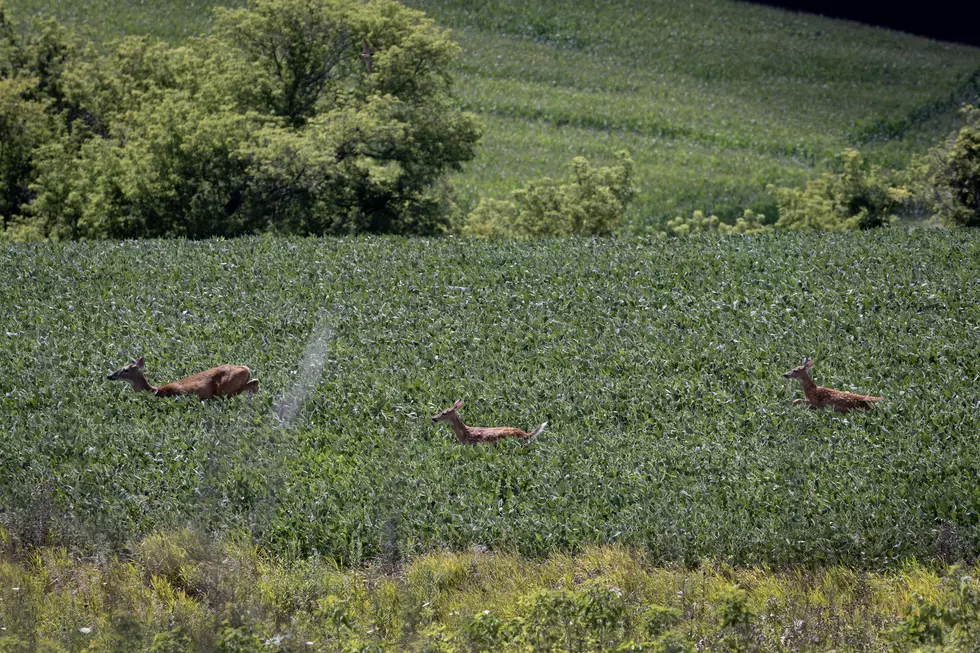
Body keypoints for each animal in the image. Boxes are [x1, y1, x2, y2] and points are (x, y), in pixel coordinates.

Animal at [107, 357, 259, 400]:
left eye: (125, 369)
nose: (110, 376)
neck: (156, 390)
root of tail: (245, 368)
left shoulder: (181, 394)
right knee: (255, 382)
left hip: (224, 389)